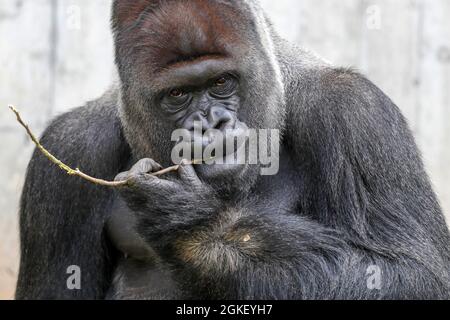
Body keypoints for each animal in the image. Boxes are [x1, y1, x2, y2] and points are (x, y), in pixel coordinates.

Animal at [14, 0, 450, 300]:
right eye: (177, 94)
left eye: (222, 82)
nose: (211, 125)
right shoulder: (69, 145)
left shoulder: (355, 111)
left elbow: (410, 273)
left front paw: (194, 226)